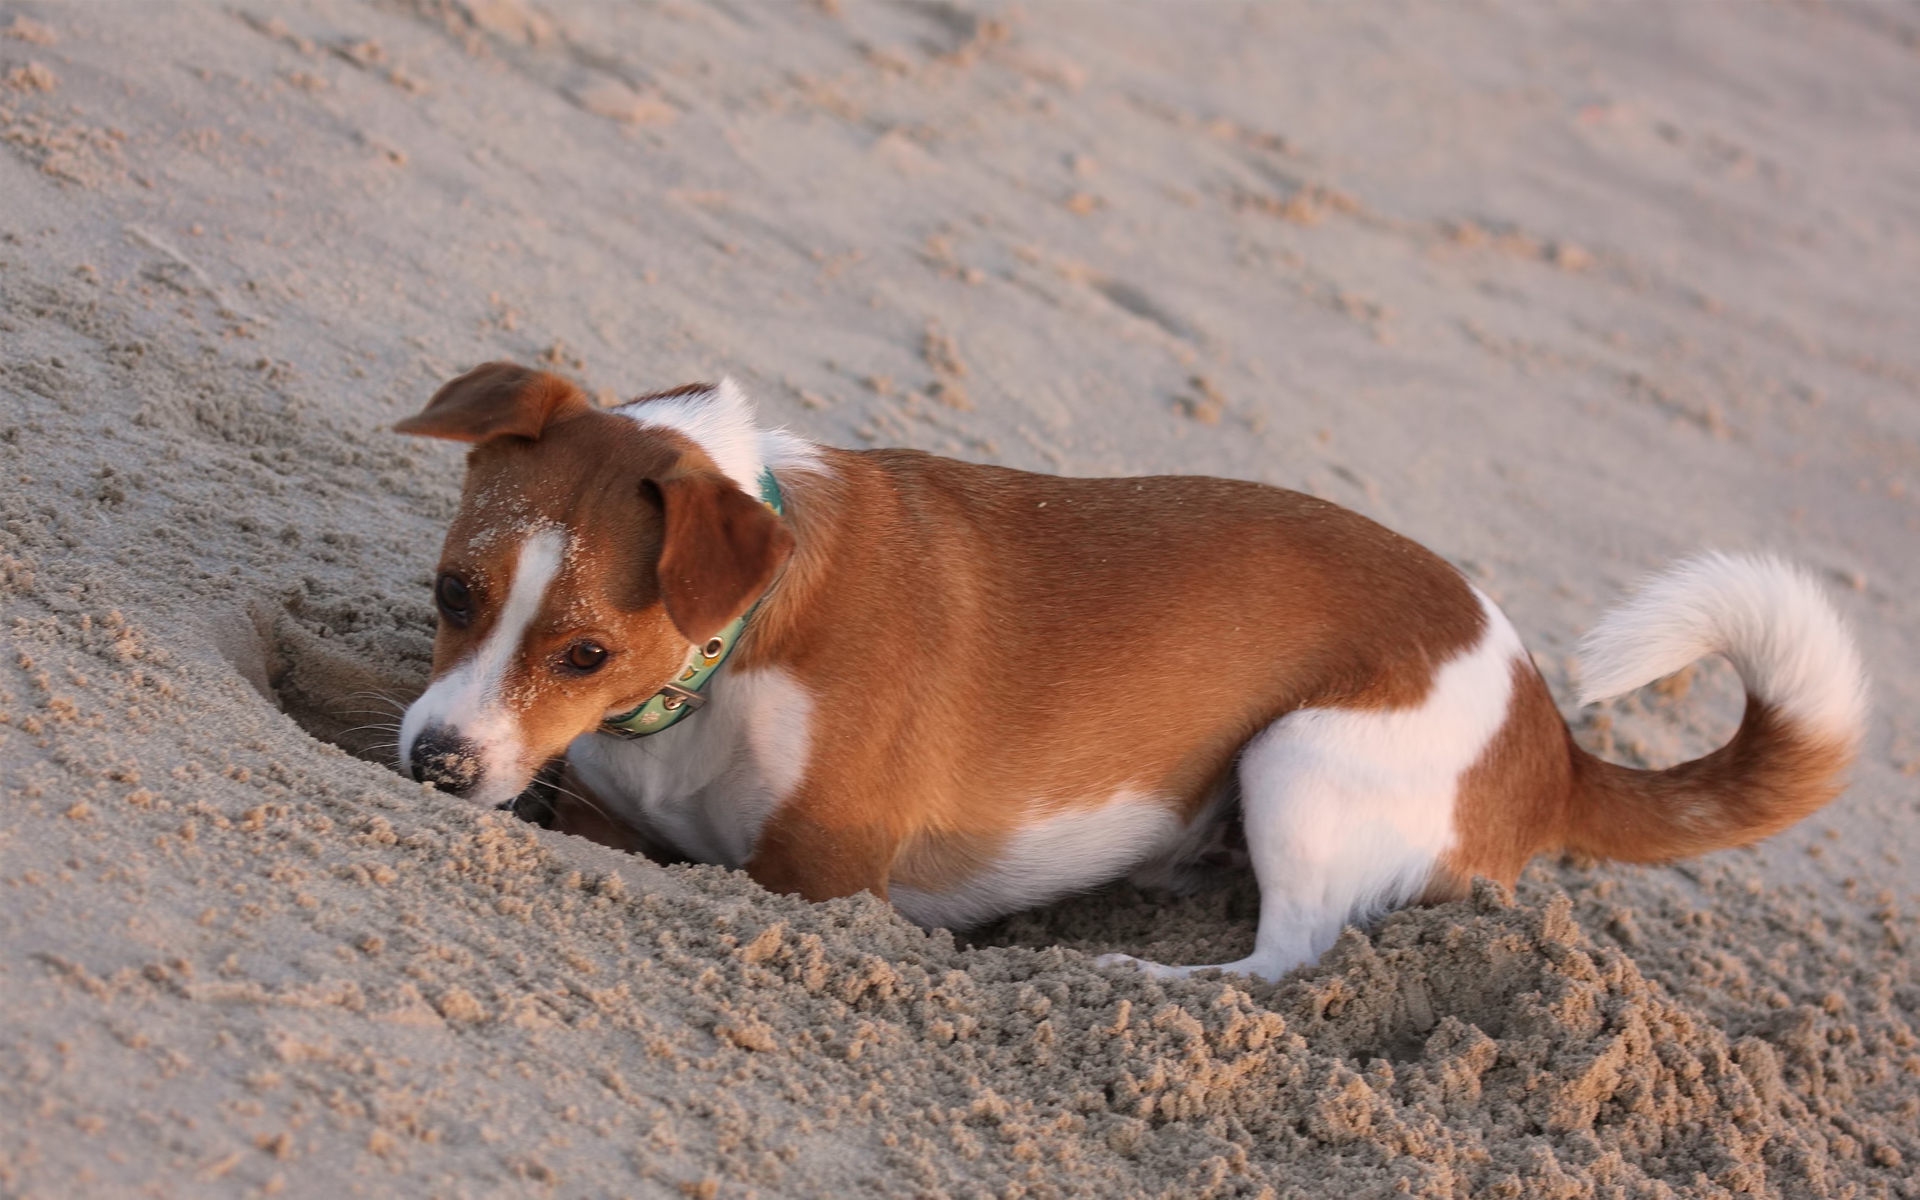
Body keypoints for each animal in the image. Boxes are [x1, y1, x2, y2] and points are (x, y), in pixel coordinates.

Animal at [397, 360, 1866, 979]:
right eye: (451, 594)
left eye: (587, 649)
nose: (434, 765)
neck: (737, 639)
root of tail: (1550, 737)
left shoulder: (822, 880)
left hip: (1303, 760)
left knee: (1289, 961)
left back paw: (1141, 981)